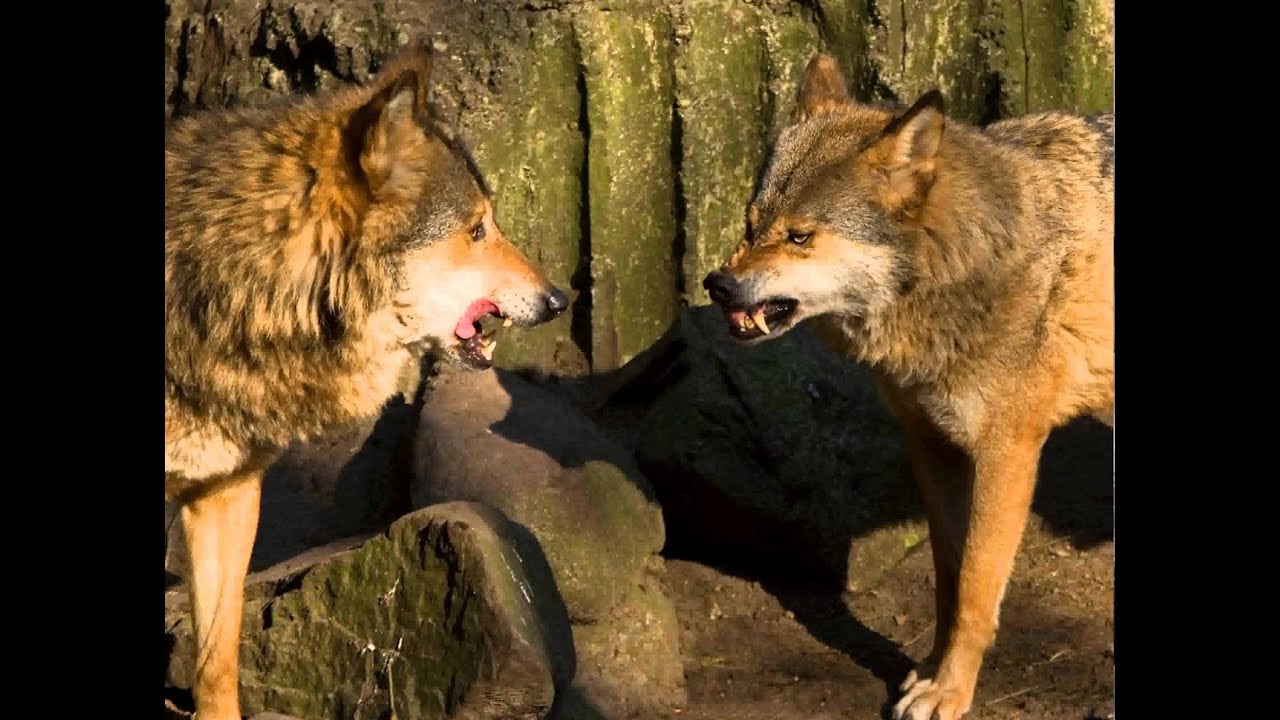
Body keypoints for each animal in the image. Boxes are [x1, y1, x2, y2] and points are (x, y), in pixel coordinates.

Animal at [702, 54, 1113, 719]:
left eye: (800, 237)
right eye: (751, 223)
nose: (717, 285)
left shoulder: (1007, 452)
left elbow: (975, 592)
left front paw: (951, 692)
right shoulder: (931, 443)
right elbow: (948, 582)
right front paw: (930, 670)